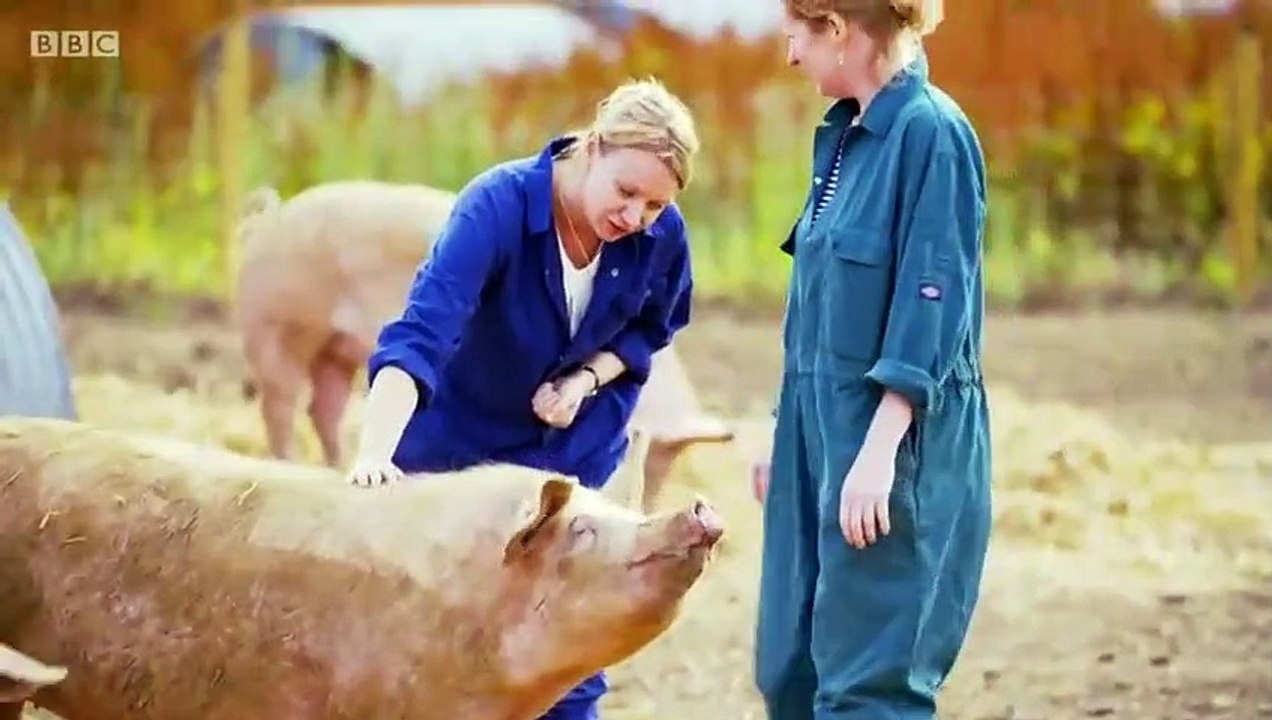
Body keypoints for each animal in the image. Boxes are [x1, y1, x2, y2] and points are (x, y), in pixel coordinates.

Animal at [233, 180, 734, 498]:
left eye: (666, 474)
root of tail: (270, 218)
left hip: (335, 349)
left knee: (324, 406)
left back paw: (334, 466)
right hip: (278, 326)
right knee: (281, 405)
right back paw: (289, 463)